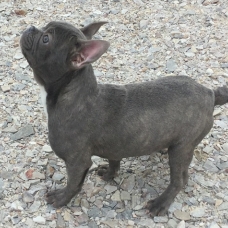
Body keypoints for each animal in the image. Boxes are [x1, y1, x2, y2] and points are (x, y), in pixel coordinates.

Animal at [20, 20, 228, 216]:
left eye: (46, 39)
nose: (31, 28)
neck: (71, 92)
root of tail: (210, 93)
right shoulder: (115, 146)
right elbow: (114, 160)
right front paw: (109, 173)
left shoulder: (76, 162)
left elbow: (73, 184)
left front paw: (61, 198)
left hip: (181, 149)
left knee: (179, 180)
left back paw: (161, 203)